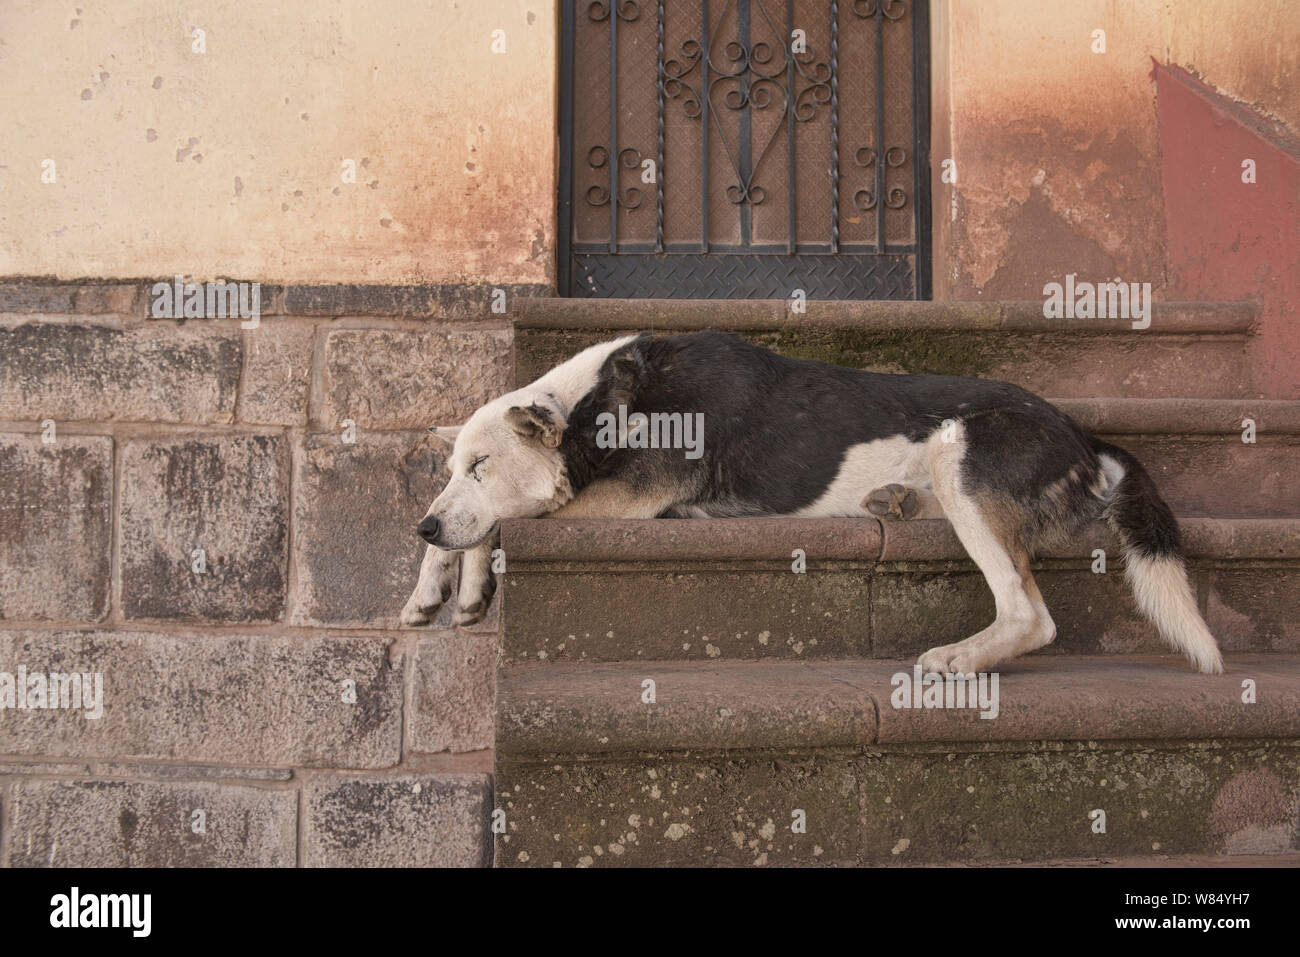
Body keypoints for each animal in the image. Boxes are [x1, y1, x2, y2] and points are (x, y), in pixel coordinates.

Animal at [400, 332, 1222, 676]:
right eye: (455, 465)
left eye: (481, 465)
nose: (424, 518)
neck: (603, 401)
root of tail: (1083, 435)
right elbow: (461, 535)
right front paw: (426, 588)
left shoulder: (620, 501)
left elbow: (498, 523)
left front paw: (466, 586)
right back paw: (894, 500)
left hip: (962, 447)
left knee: (1030, 615)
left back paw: (960, 657)